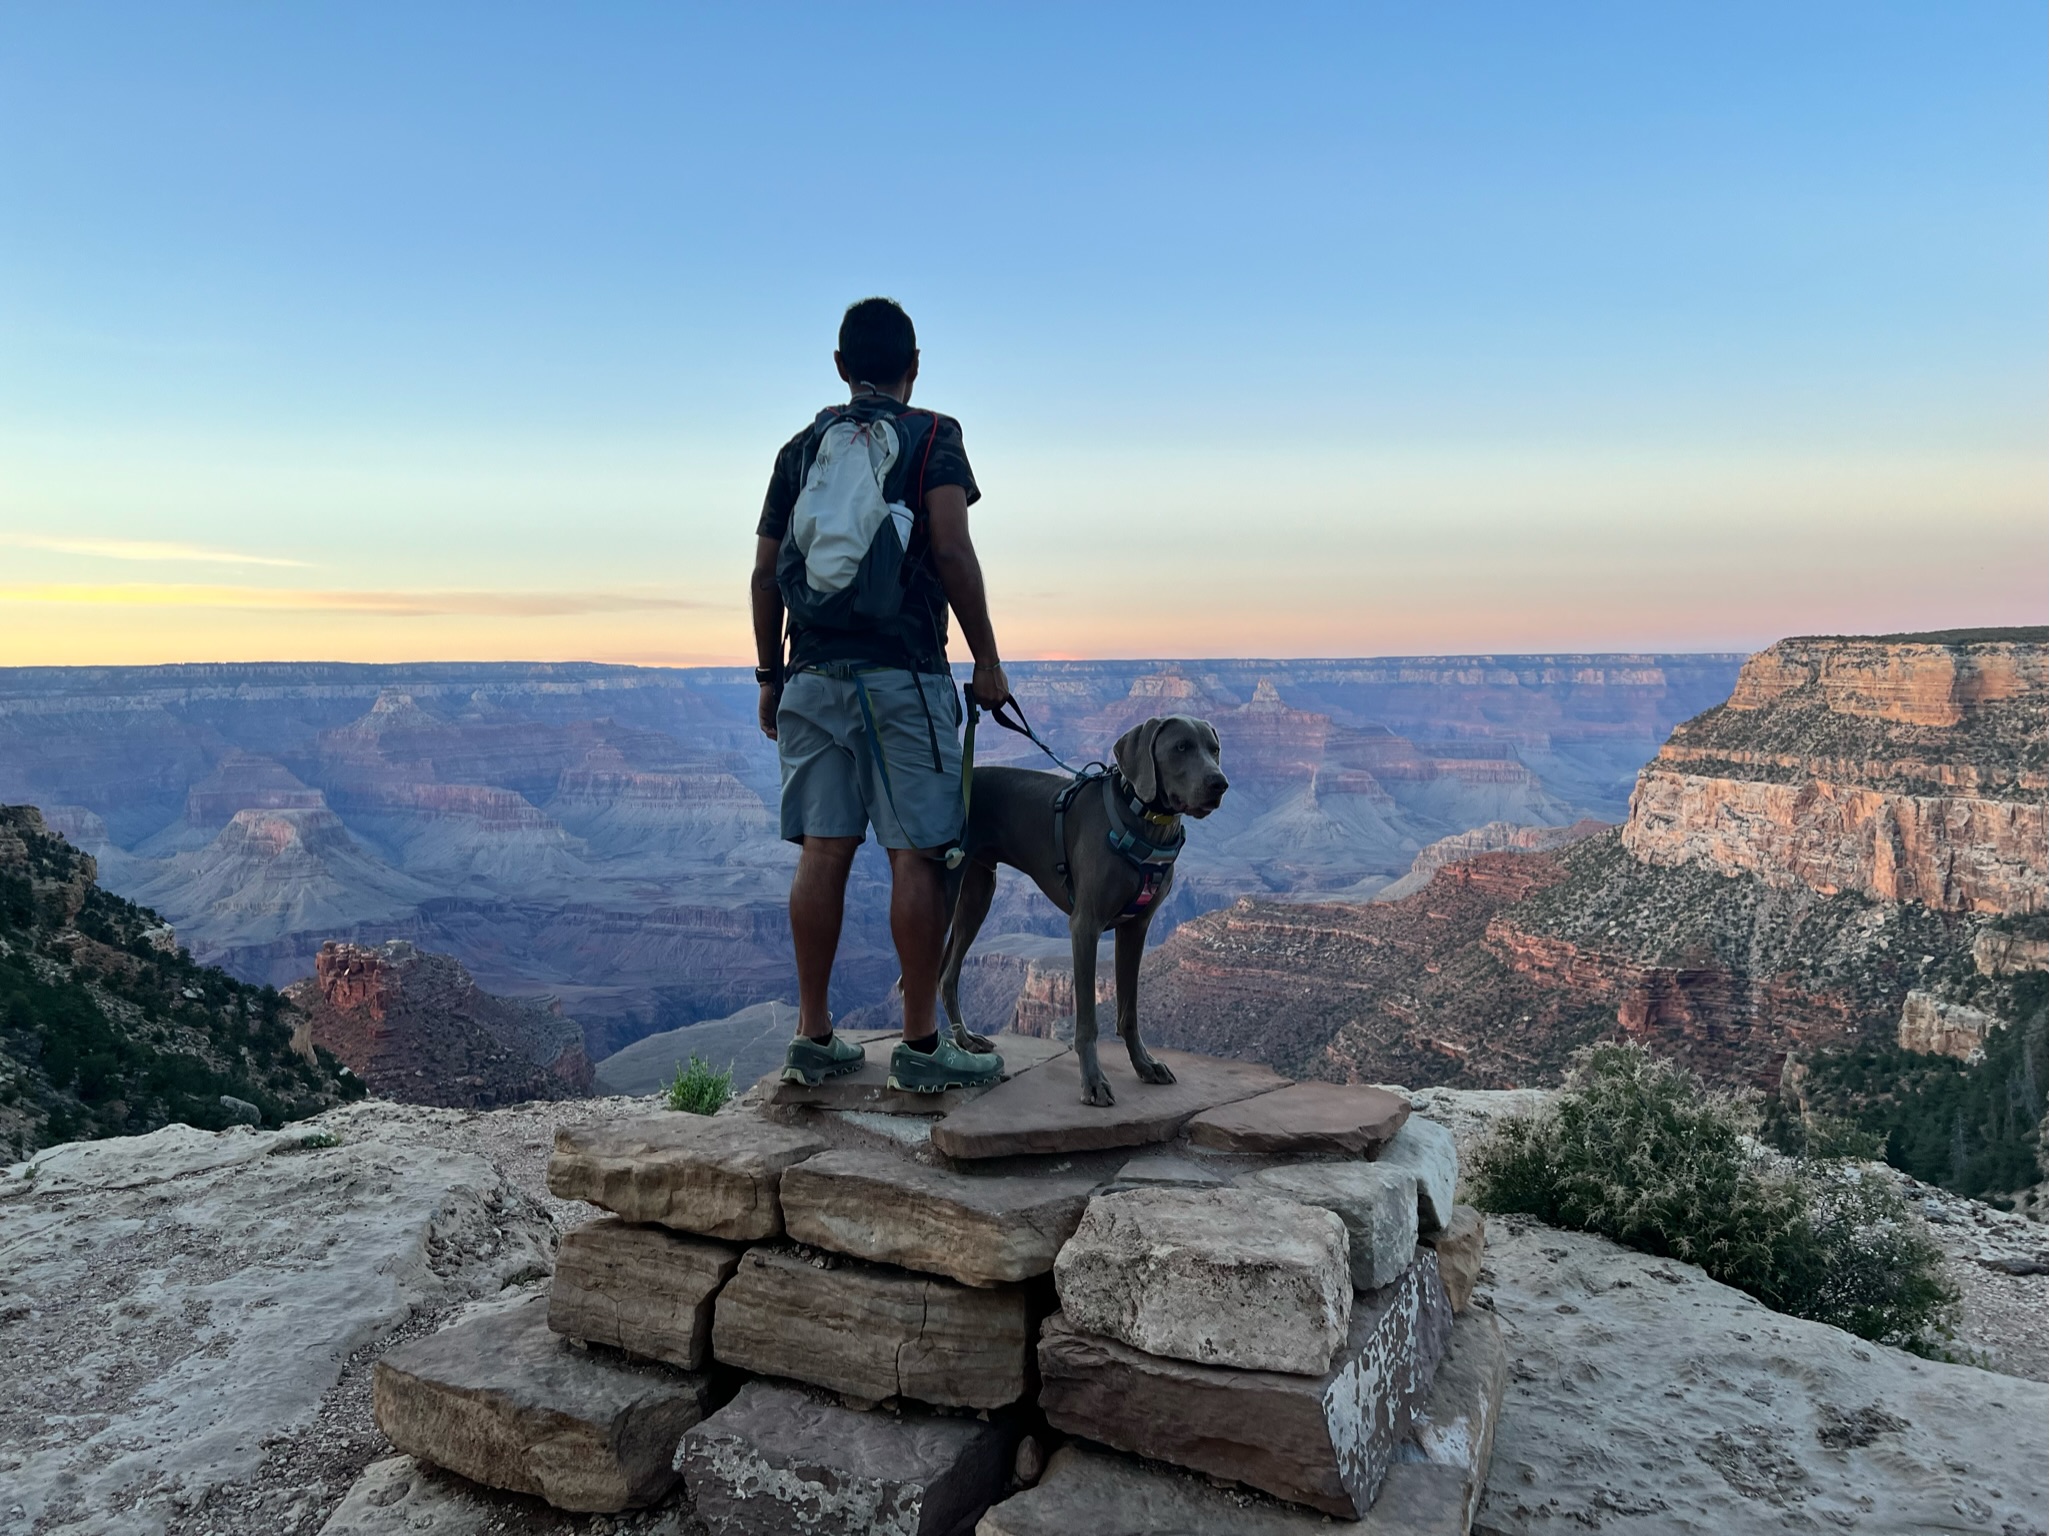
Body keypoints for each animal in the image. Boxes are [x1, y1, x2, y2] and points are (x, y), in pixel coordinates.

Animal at [942, 716, 1229, 1114]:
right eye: (1181, 747)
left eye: (1214, 749)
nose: (1220, 783)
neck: (1144, 819)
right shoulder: (1085, 926)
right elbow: (1088, 1022)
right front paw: (1093, 1081)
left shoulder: (1136, 928)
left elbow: (1128, 1011)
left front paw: (1144, 1064)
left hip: (977, 892)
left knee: (947, 974)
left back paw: (966, 1040)